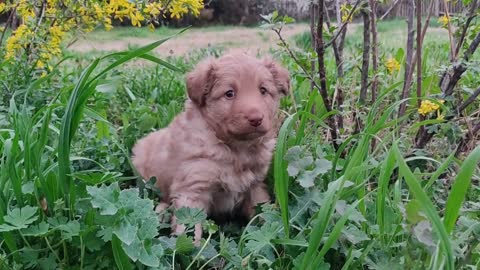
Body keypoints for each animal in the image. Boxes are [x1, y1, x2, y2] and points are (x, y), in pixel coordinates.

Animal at [130, 52, 288, 240]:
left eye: (263, 90)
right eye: (229, 93)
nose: (256, 118)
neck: (235, 148)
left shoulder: (255, 185)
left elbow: (262, 211)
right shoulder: (193, 187)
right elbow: (188, 228)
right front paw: (190, 247)